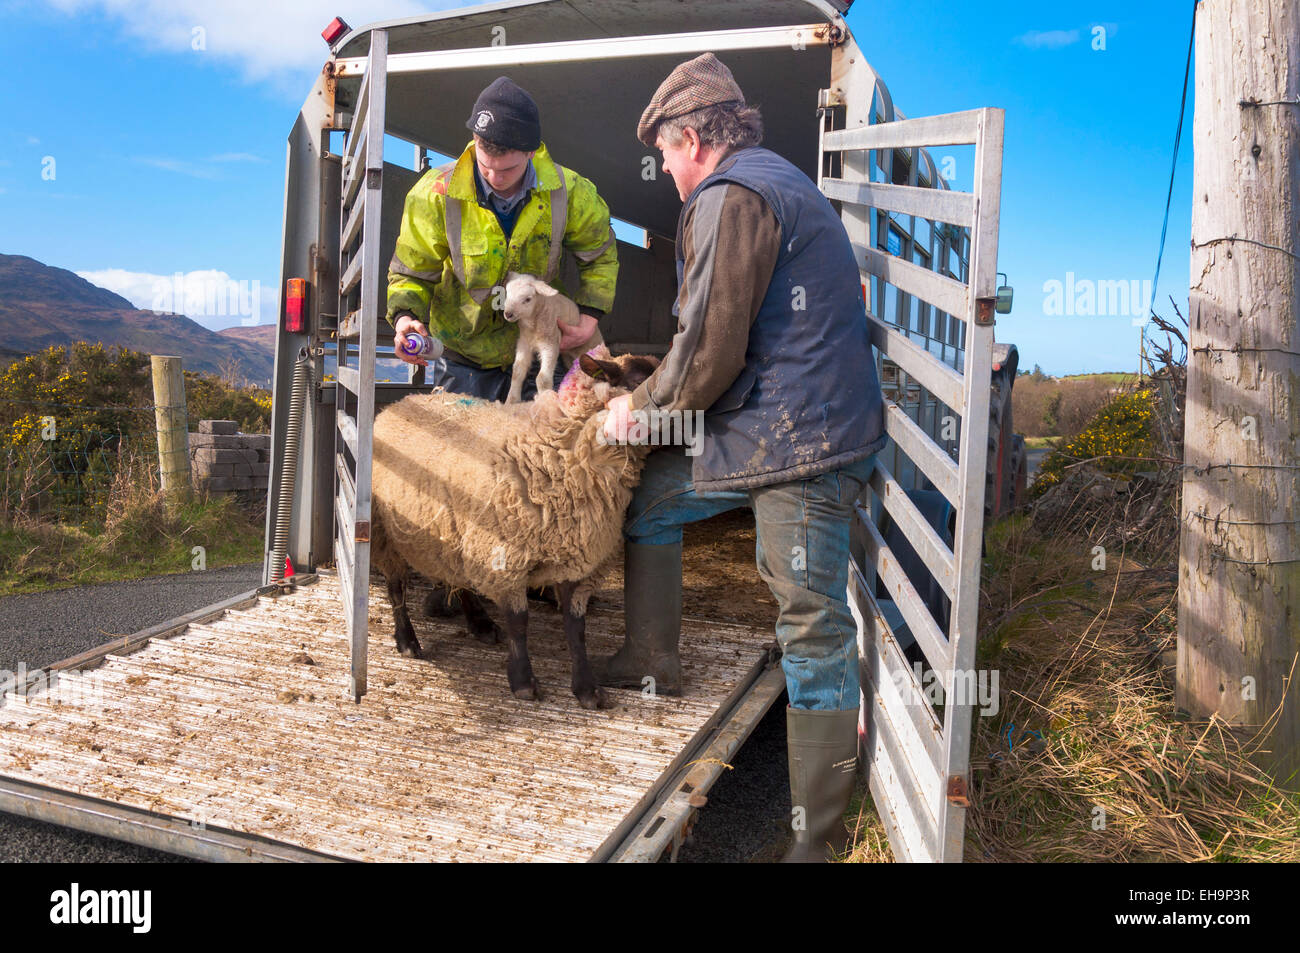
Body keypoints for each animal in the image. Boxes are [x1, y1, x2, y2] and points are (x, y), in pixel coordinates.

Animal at [374, 348, 660, 707]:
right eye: (638, 378)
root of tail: (399, 402)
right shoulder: (506, 559)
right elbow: (519, 622)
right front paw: (524, 682)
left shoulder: (577, 559)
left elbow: (576, 628)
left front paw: (586, 689)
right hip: (387, 534)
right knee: (396, 588)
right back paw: (408, 640)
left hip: (457, 535)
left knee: (461, 580)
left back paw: (479, 624)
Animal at [501, 269, 603, 403]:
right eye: (507, 294)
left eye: (528, 299)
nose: (508, 314)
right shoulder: (524, 343)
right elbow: (517, 372)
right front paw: (511, 400)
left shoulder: (550, 343)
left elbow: (542, 379)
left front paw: (545, 401)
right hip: (569, 359)